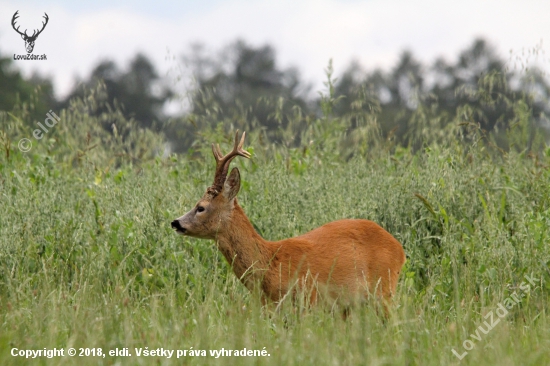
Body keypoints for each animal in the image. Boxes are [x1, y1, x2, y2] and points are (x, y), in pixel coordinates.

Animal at [172, 131, 410, 308]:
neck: (270, 265)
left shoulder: (308, 301)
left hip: (384, 289)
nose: (175, 222)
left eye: (201, 207)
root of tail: (399, 249)